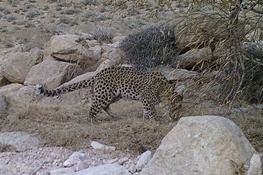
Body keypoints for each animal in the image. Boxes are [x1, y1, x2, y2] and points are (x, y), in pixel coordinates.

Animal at [34, 66, 184, 121]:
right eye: (177, 106)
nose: (177, 117)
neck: (163, 88)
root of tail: (98, 74)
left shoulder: (145, 101)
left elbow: (146, 111)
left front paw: (146, 119)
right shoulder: (147, 99)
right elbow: (151, 111)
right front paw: (156, 120)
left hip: (115, 95)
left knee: (105, 106)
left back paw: (114, 116)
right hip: (104, 94)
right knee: (93, 108)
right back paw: (92, 121)